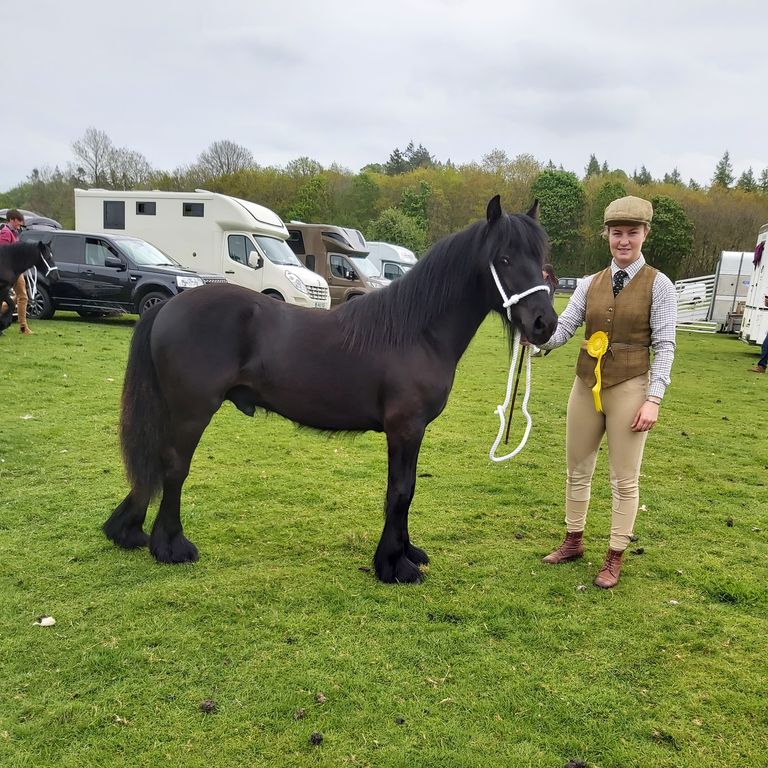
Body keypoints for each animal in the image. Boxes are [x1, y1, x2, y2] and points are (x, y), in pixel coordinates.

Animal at [103, 196, 560, 584]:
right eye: (504, 258)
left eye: (542, 260)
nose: (544, 323)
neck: (417, 331)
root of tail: (169, 305)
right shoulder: (405, 428)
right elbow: (401, 492)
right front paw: (393, 566)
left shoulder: (413, 432)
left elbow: (406, 489)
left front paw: (407, 552)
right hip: (192, 411)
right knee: (174, 466)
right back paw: (171, 546)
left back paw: (127, 531)